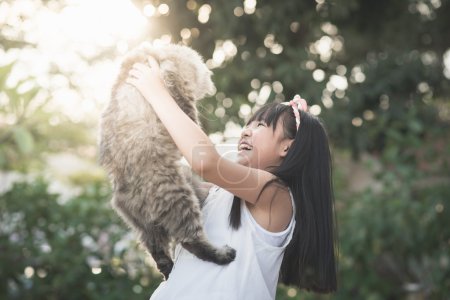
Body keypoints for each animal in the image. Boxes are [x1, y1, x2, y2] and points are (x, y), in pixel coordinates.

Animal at [99, 42, 237, 278]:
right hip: (180, 197)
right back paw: (221, 254)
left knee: (158, 253)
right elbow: (190, 112)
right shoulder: (180, 93)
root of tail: (124, 195)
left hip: (147, 228)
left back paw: (167, 269)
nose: (209, 88)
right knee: (191, 240)